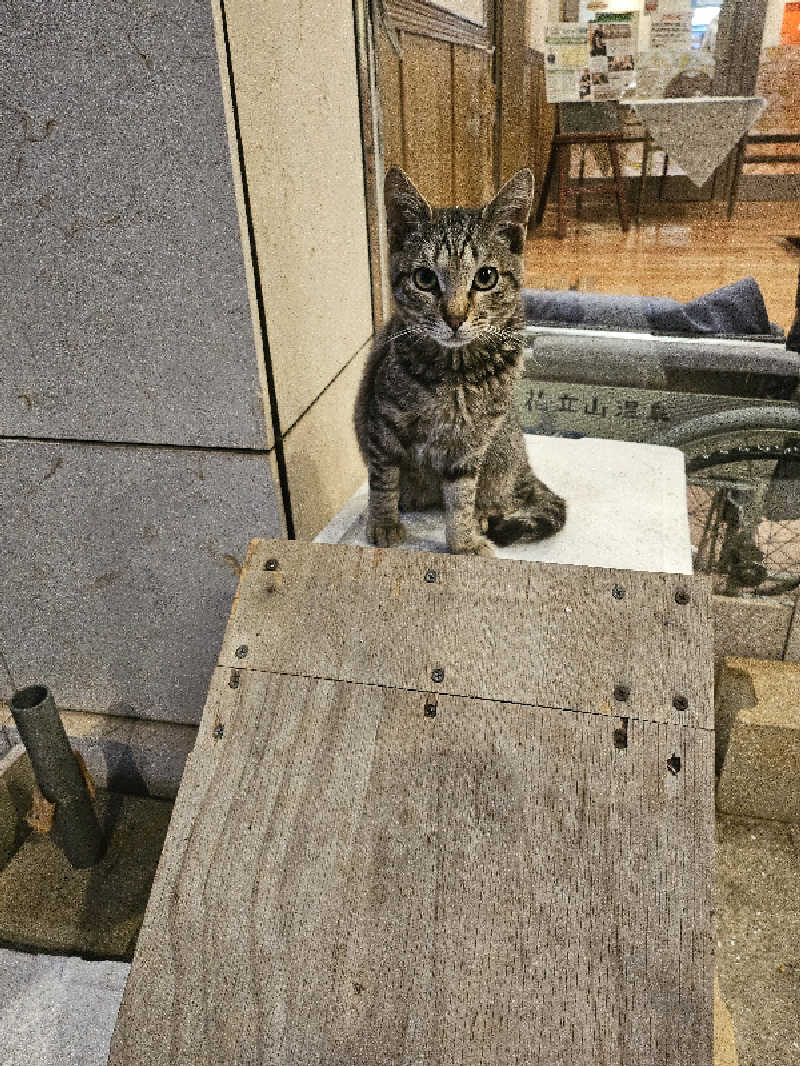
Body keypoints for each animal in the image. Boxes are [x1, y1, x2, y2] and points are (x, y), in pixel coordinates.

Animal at [354, 166, 567, 558]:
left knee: (499, 495)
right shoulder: (382, 421)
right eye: (424, 278)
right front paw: (384, 522)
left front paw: (463, 540)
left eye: (486, 277)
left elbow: (461, 495)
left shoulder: (471, 442)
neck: (456, 374)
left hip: (501, 449)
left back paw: (484, 513)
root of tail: (523, 467)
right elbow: (383, 477)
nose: (454, 317)